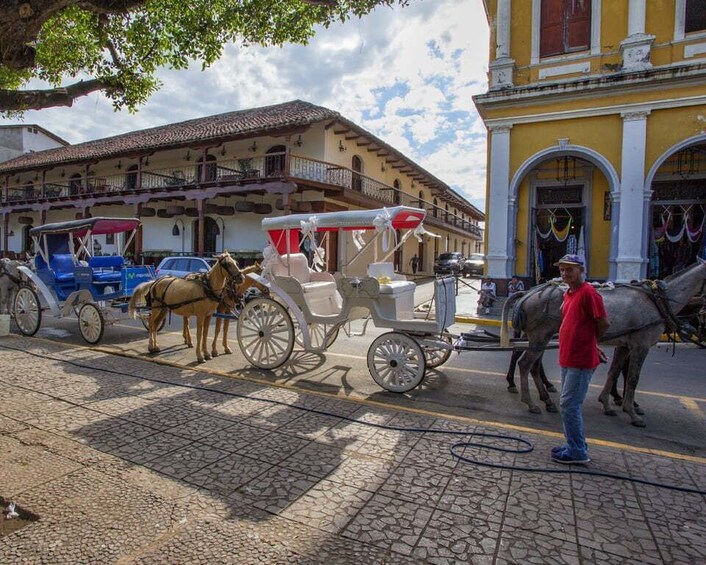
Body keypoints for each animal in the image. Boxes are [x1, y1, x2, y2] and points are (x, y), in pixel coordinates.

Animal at [498, 258, 704, 426]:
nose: (694, 328)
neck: (658, 301)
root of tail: (528, 293)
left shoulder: (624, 345)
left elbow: (614, 372)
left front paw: (608, 403)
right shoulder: (641, 344)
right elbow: (632, 377)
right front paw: (632, 412)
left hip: (541, 336)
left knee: (532, 364)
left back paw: (545, 399)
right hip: (540, 335)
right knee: (525, 364)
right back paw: (530, 402)